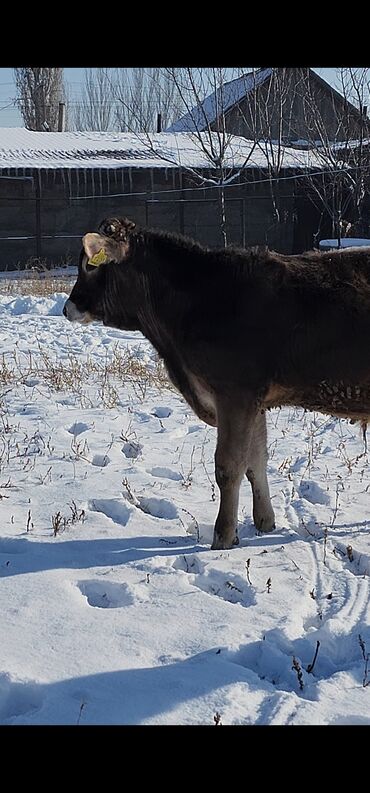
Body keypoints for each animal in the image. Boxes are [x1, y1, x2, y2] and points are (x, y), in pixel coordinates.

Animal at [64, 218, 370, 552]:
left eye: (89, 266)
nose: (68, 307)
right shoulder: (253, 401)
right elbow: (255, 461)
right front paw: (264, 522)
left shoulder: (234, 394)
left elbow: (229, 466)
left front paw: (223, 536)